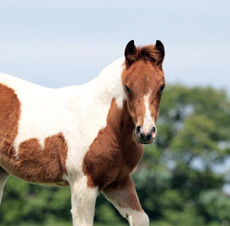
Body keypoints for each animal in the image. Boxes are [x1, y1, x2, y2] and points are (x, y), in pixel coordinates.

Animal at [0, 40, 165, 226]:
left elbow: (141, 218)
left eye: (162, 86)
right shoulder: (83, 185)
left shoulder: (118, 181)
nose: (146, 132)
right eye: (127, 87)